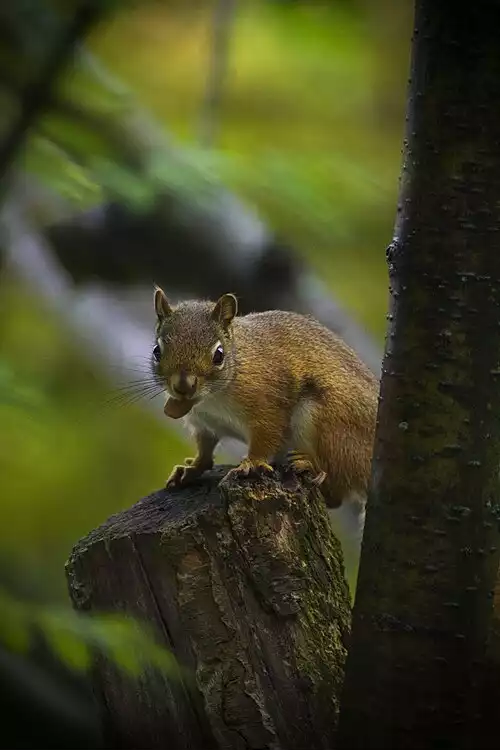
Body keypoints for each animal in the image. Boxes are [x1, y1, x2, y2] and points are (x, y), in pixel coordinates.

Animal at [152, 286, 378, 588]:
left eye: (218, 355)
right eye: (157, 351)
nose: (182, 386)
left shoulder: (267, 407)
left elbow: (265, 438)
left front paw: (251, 464)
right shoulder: (204, 422)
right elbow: (205, 450)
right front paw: (191, 469)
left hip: (328, 423)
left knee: (337, 486)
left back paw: (309, 465)